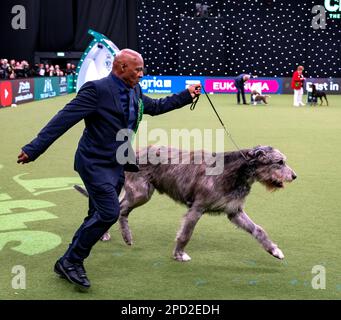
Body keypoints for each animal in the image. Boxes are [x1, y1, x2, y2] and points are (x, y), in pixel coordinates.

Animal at [73, 145, 294, 262]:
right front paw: (179, 254)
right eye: (279, 162)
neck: (234, 172)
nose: (294, 176)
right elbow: (186, 233)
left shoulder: (235, 211)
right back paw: (112, 234)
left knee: (119, 210)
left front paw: (274, 250)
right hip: (141, 192)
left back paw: (122, 237)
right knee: (119, 210)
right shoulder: (196, 208)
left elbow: (258, 229)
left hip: (139, 192)